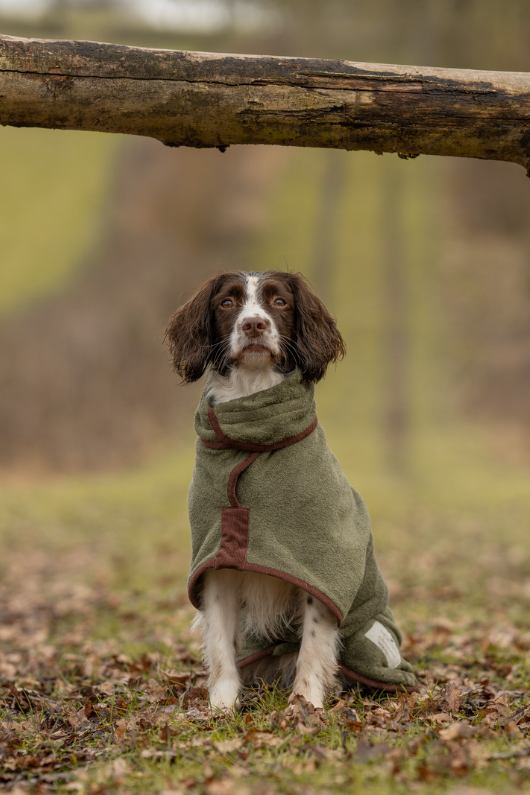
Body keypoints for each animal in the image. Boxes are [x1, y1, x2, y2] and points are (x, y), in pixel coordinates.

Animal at [164, 270, 412, 712]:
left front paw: (305, 703)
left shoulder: (319, 567)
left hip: (368, 641)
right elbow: (221, 644)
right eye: (227, 303)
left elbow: (313, 644)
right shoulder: (217, 565)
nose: (253, 325)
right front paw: (221, 705)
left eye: (279, 301)